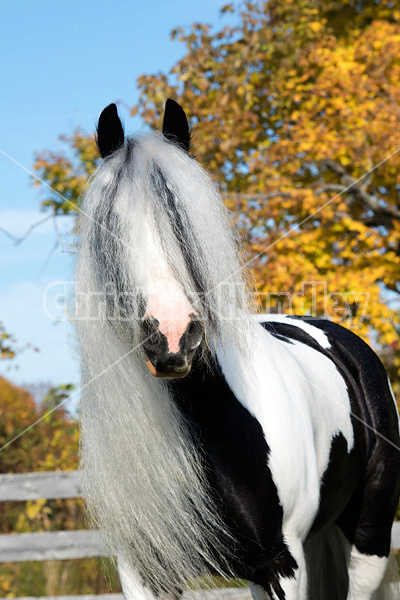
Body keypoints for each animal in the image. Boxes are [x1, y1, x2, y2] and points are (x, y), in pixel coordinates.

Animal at [75, 99, 400, 600]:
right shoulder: (144, 571)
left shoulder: (282, 565)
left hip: (369, 541)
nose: (172, 336)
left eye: (184, 222)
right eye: (111, 226)